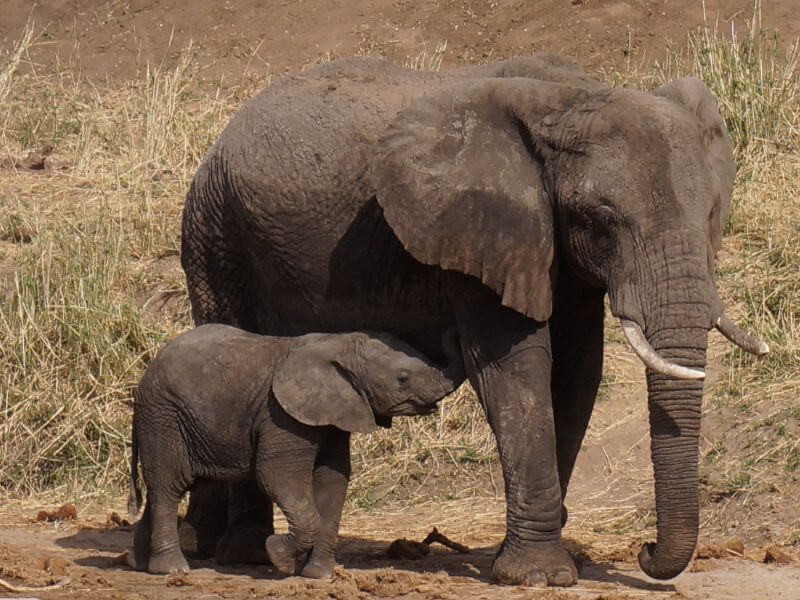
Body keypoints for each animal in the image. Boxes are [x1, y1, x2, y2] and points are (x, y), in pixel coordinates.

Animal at [126, 323, 464, 577]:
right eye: (403, 379)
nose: (452, 328)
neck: (339, 344)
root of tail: (144, 379)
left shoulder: (333, 415)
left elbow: (333, 481)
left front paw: (319, 575)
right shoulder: (281, 415)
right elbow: (277, 476)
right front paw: (278, 556)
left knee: (169, 487)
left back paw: (139, 564)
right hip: (164, 416)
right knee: (171, 484)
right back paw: (171, 570)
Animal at [178, 53, 769, 585]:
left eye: (712, 213)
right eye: (602, 220)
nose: (645, 551)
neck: (571, 99)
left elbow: (576, 372)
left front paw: (554, 556)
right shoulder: (481, 232)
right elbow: (517, 371)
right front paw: (540, 576)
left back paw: (205, 543)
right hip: (216, 234)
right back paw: (242, 554)